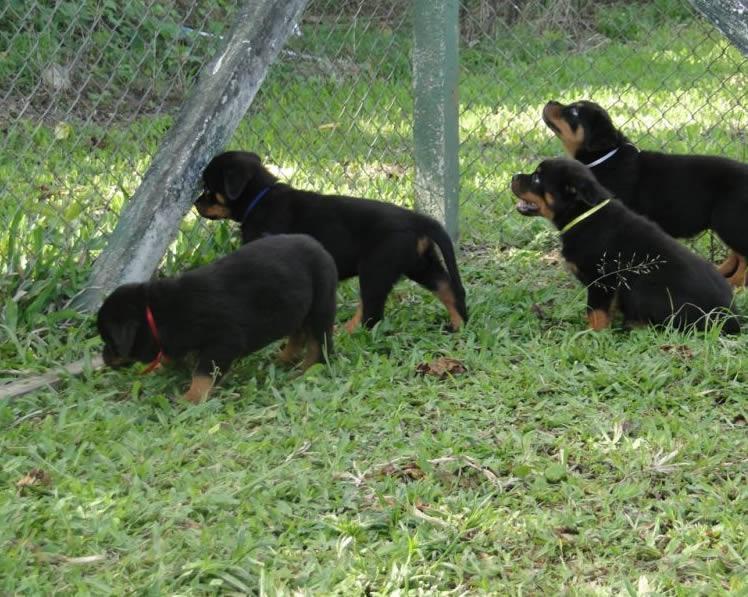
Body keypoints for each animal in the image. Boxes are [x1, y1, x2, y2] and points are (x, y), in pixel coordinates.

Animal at [97, 234, 337, 403]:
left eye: (110, 342)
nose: (104, 358)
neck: (156, 313)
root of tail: (319, 245)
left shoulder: (223, 342)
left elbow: (203, 374)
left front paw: (190, 398)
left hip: (321, 304)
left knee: (319, 342)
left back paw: (305, 368)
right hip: (295, 307)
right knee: (298, 333)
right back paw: (284, 358)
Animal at [194, 151, 468, 332]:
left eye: (208, 188)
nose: (196, 204)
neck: (261, 197)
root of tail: (416, 219)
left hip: (376, 267)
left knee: (371, 312)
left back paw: (347, 333)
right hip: (419, 263)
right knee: (447, 287)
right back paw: (458, 324)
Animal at [511, 158, 740, 334]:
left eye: (537, 178)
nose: (513, 177)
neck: (584, 215)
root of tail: (732, 319)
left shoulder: (602, 281)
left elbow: (596, 313)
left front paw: (592, 335)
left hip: (643, 288)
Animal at [542, 99, 748, 286]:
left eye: (574, 112)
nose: (550, 101)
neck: (604, 158)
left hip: (728, 219)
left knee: (743, 255)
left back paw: (735, 284)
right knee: (737, 253)